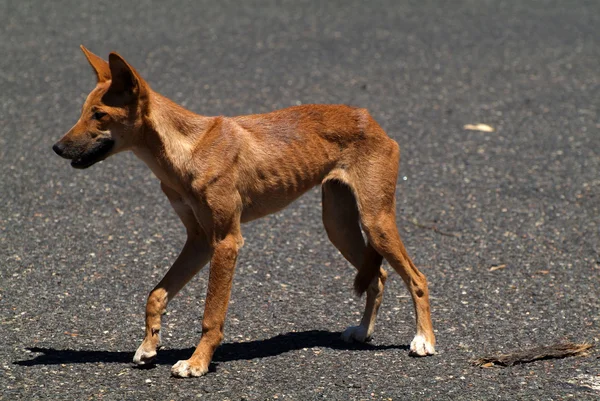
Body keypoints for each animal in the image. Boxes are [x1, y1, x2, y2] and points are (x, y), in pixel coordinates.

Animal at [52, 47, 436, 378]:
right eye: (82, 111)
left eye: (100, 115)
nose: (56, 147)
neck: (186, 152)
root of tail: (370, 119)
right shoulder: (199, 241)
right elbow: (156, 294)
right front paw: (149, 346)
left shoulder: (226, 241)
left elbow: (211, 315)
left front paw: (197, 363)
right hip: (338, 226)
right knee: (378, 275)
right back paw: (363, 331)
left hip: (375, 221)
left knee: (417, 278)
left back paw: (424, 341)